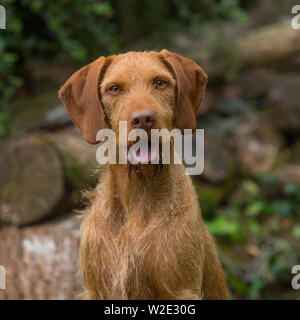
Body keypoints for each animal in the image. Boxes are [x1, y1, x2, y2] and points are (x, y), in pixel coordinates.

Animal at [58, 48, 229, 298]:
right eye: (115, 89)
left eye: (160, 82)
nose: (143, 119)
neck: (138, 190)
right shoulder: (95, 288)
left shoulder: (181, 290)